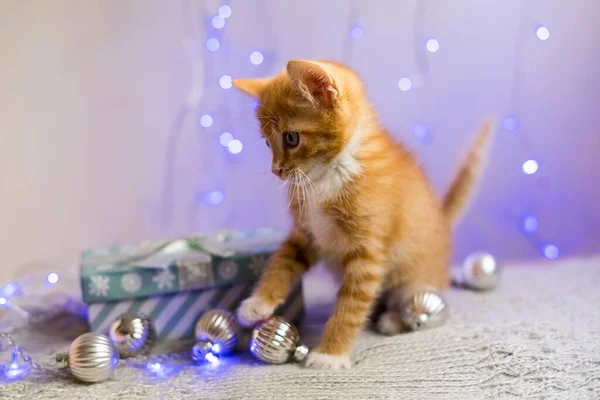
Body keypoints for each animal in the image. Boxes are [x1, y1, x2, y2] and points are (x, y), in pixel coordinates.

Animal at [232, 61, 490, 370]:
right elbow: (282, 263)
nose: (277, 171)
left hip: (416, 276)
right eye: (268, 145)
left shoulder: (368, 252)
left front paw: (330, 353)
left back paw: (393, 319)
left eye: (291, 138)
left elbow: (351, 305)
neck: (326, 176)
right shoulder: (306, 232)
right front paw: (257, 303)